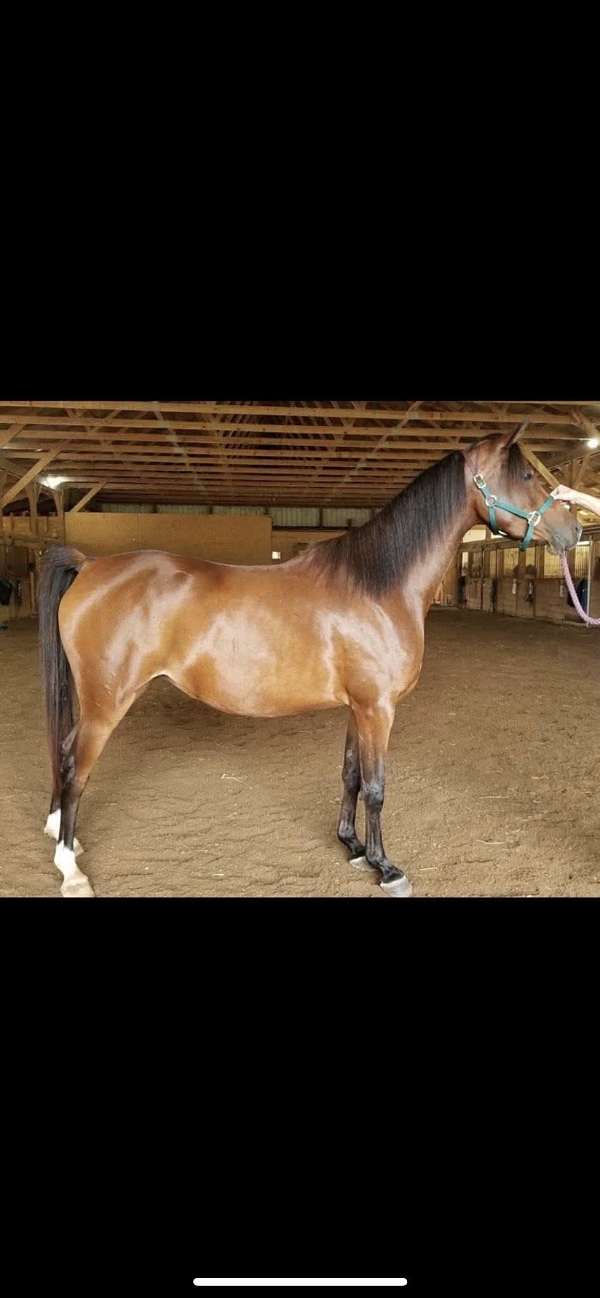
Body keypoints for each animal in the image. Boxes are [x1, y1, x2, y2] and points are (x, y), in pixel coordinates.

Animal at [37, 429, 580, 898]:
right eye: (526, 475)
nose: (574, 529)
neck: (377, 587)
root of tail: (90, 565)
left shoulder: (359, 708)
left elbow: (351, 775)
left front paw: (353, 847)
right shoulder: (379, 709)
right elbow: (377, 787)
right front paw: (387, 868)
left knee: (63, 752)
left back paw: (62, 834)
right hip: (108, 702)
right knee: (77, 767)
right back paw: (71, 870)